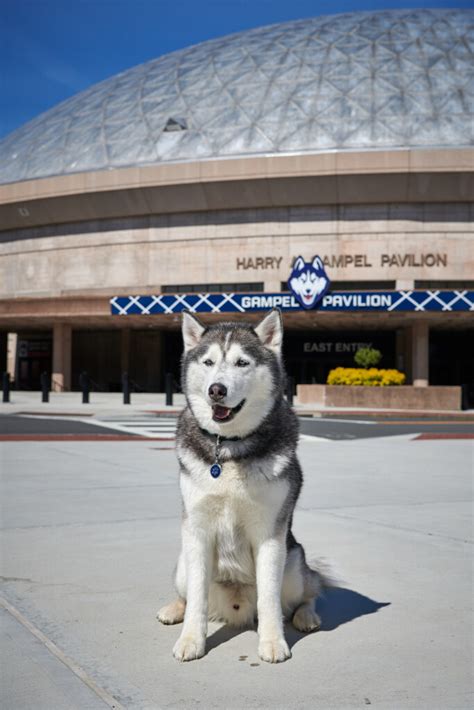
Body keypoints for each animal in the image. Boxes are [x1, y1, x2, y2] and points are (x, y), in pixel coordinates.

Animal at [157, 308, 328, 664]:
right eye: (208, 362)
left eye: (241, 363)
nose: (216, 390)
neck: (229, 448)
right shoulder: (197, 530)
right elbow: (197, 598)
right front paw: (191, 639)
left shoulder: (269, 533)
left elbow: (269, 598)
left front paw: (273, 641)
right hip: (182, 561)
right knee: (187, 593)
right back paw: (173, 608)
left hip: (293, 563)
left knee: (307, 592)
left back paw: (306, 615)